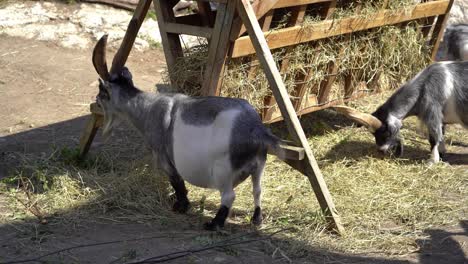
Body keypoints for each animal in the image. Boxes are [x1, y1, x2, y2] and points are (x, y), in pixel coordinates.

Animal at [90, 34, 284, 229]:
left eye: (102, 92)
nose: (95, 102)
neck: (146, 108)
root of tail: (256, 129)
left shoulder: (165, 158)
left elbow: (178, 183)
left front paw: (181, 206)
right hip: (259, 165)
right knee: (257, 190)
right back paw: (257, 219)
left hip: (223, 170)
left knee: (229, 196)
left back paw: (214, 223)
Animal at [334, 61, 468, 164]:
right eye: (373, 134)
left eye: (386, 132)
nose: (381, 150)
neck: (424, 86)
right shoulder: (441, 119)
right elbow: (441, 135)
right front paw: (441, 152)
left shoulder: (432, 114)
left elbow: (434, 138)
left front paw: (432, 161)